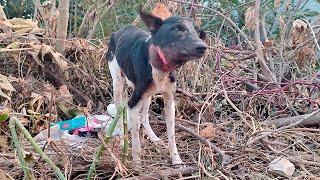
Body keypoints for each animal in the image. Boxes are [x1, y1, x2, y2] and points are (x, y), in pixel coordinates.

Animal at [106, 7, 208, 167]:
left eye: (198, 32)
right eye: (178, 28)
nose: (202, 47)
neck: (161, 65)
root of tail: (119, 31)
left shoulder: (170, 101)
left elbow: (171, 135)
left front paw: (176, 160)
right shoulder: (132, 104)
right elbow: (136, 141)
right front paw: (137, 164)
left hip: (148, 95)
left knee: (144, 118)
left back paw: (153, 137)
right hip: (118, 84)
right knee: (119, 112)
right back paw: (122, 140)